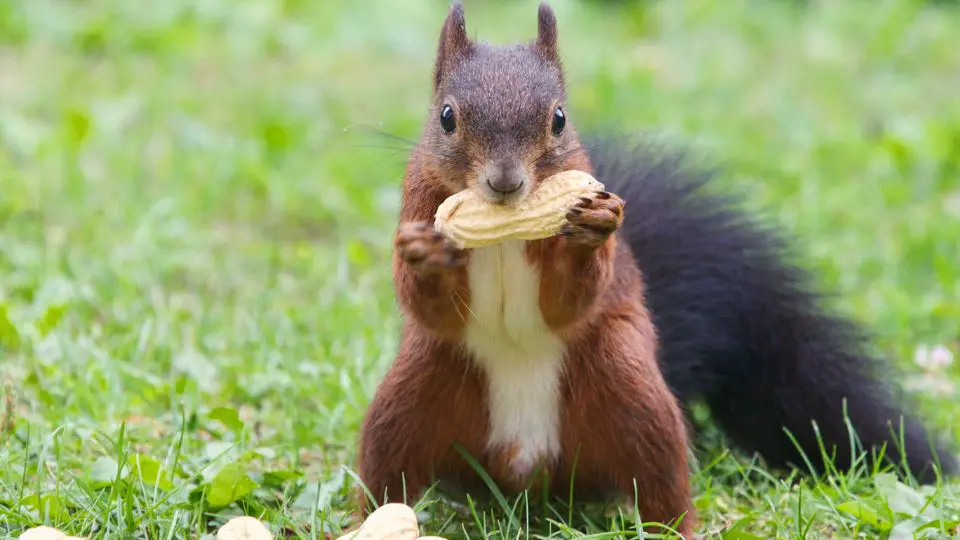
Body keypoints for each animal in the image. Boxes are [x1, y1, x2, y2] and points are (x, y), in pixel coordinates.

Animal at [356, 3, 692, 536]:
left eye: (559, 119)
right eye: (446, 117)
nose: (505, 182)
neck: (503, 232)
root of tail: (526, 471)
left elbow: (568, 301)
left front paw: (593, 227)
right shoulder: (418, 201)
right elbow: (432, 307)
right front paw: (425, 253)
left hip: (630, 389)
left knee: (662, 481)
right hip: (411, 396)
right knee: (385, 474)